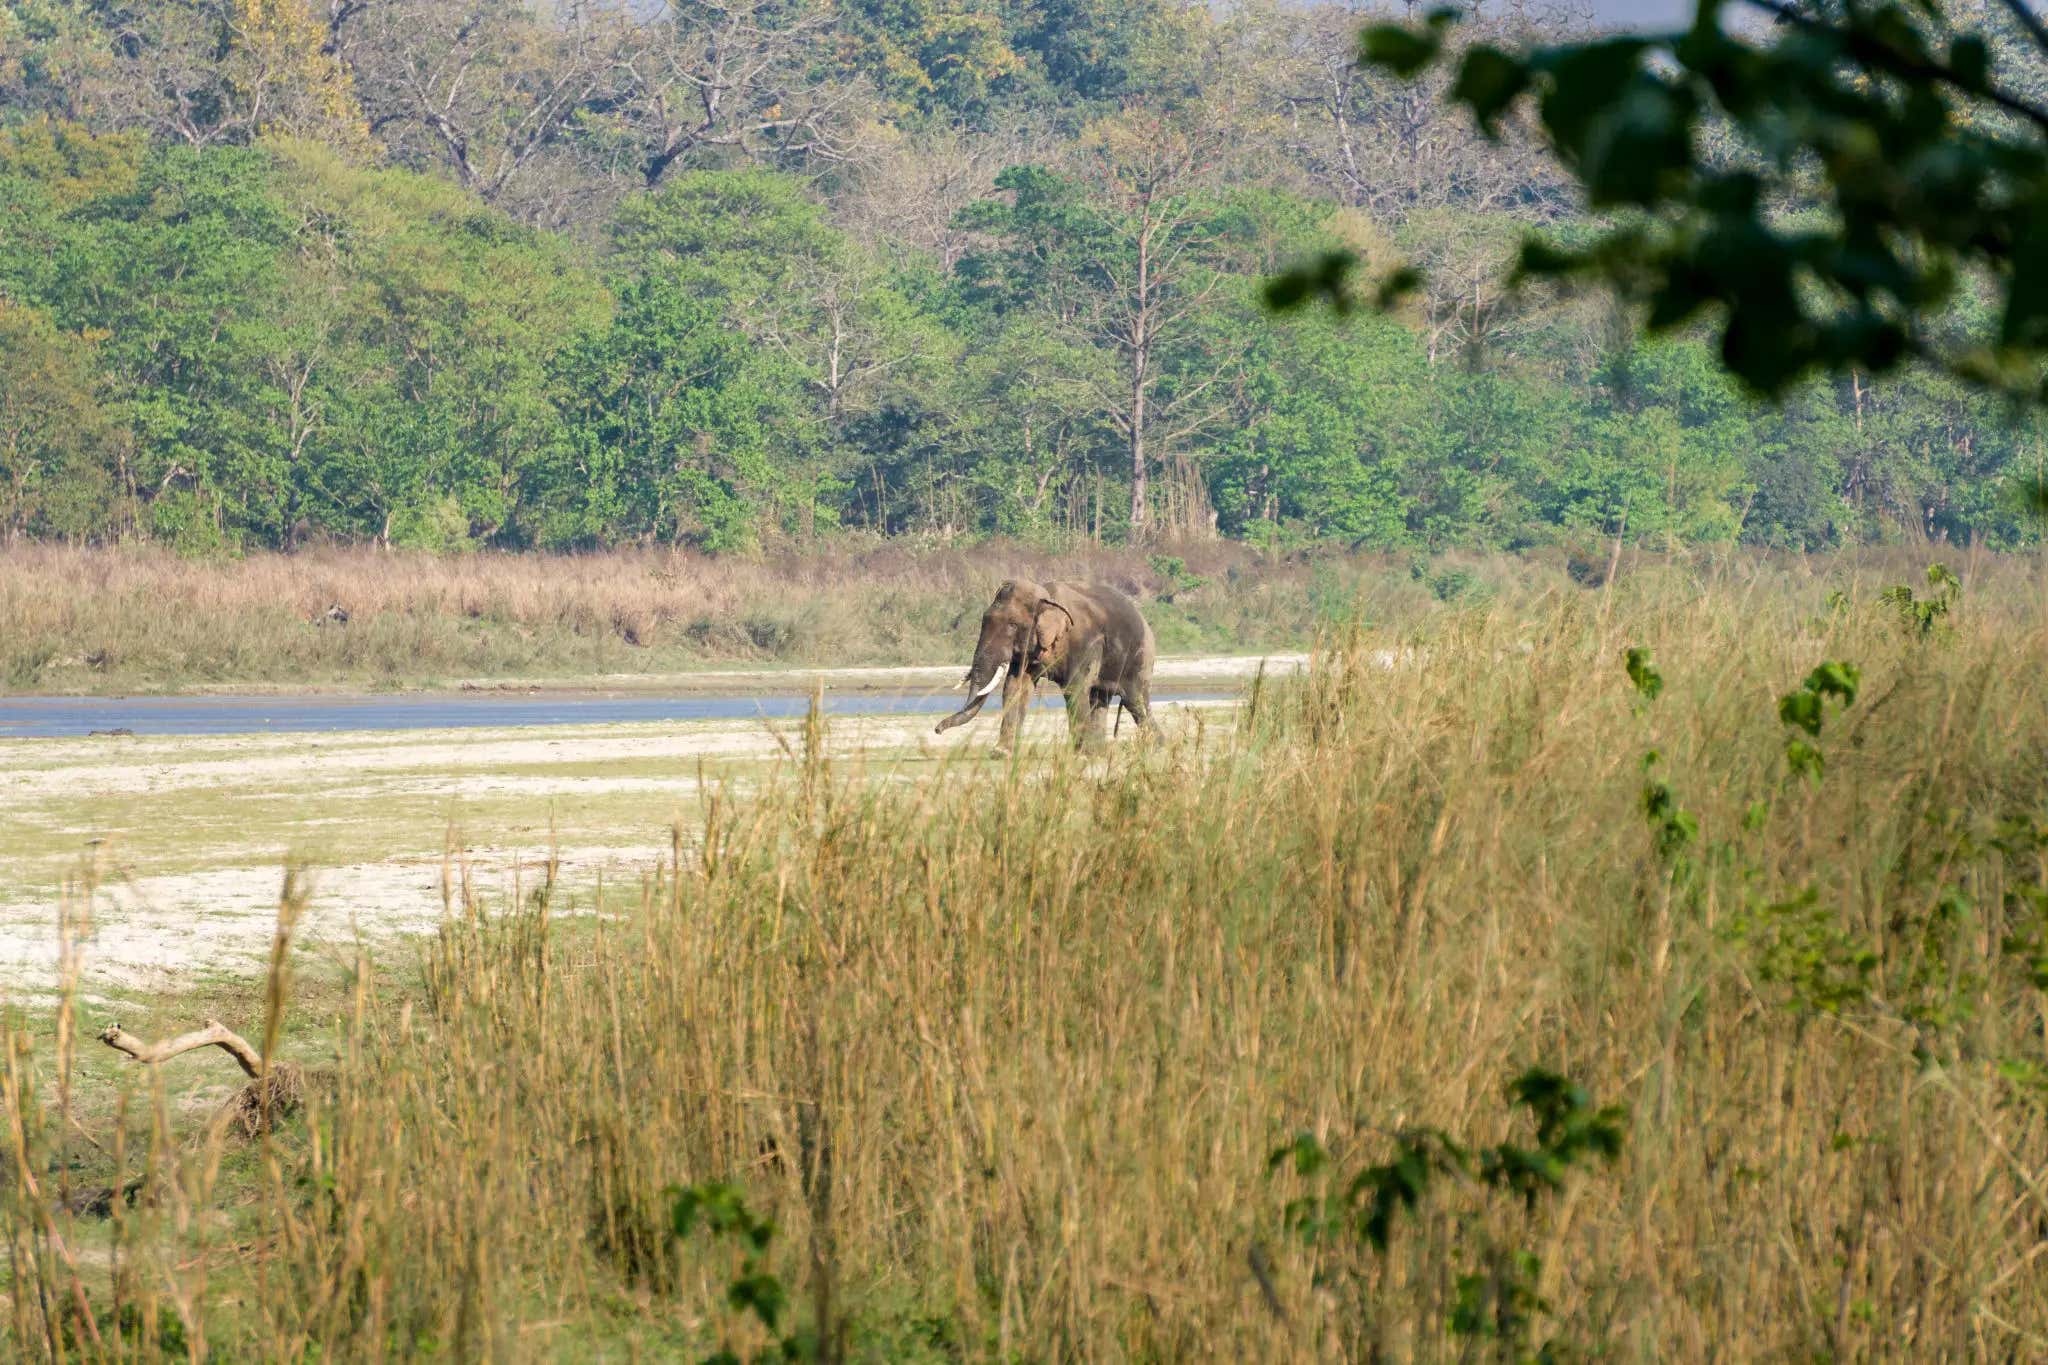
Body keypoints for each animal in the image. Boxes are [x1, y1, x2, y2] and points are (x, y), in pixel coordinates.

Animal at [933, 579, 1156, 753]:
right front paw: (1001, 753)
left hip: (1140, 658)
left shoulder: (1085, 641)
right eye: (984, 621)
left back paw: (1152, 746)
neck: (1046, 595)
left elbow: (1074, 689)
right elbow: (1015, 687)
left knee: (1134, 701)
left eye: (1012, 625)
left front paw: (1081, 753)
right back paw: (1104, 750)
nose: (937, 729)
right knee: (1101, 699)